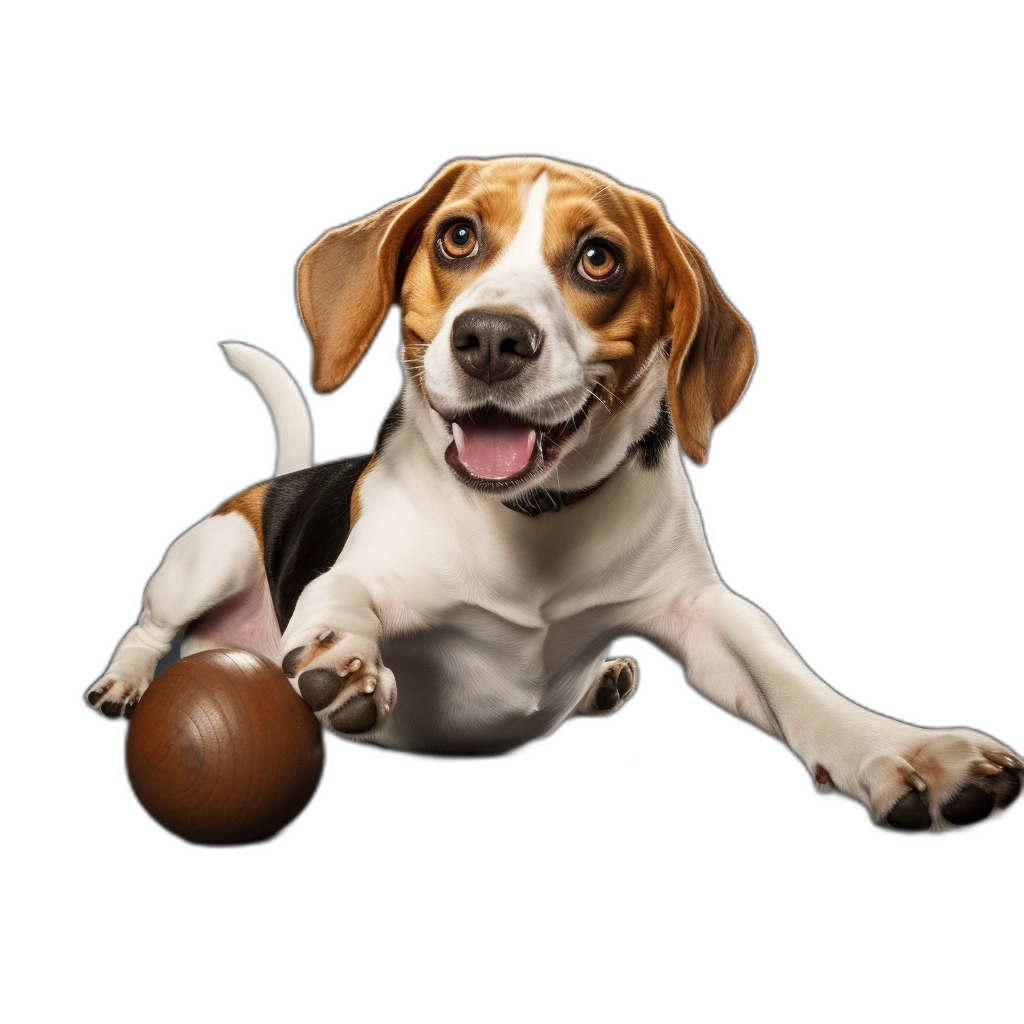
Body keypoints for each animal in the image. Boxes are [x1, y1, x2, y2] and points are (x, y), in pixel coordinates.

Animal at [86, 157, 1015, 831]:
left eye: (598, 258)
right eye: (458, 237)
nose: (493, 337)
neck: (531, 518)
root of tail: (276, 482)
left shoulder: (709, 615)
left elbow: (794, 682)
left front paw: (908, 752)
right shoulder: (362, 578)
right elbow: (340, 595)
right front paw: (339, 657)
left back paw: (599, 685)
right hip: (209, 556)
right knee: (152, 629)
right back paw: (125, 684)